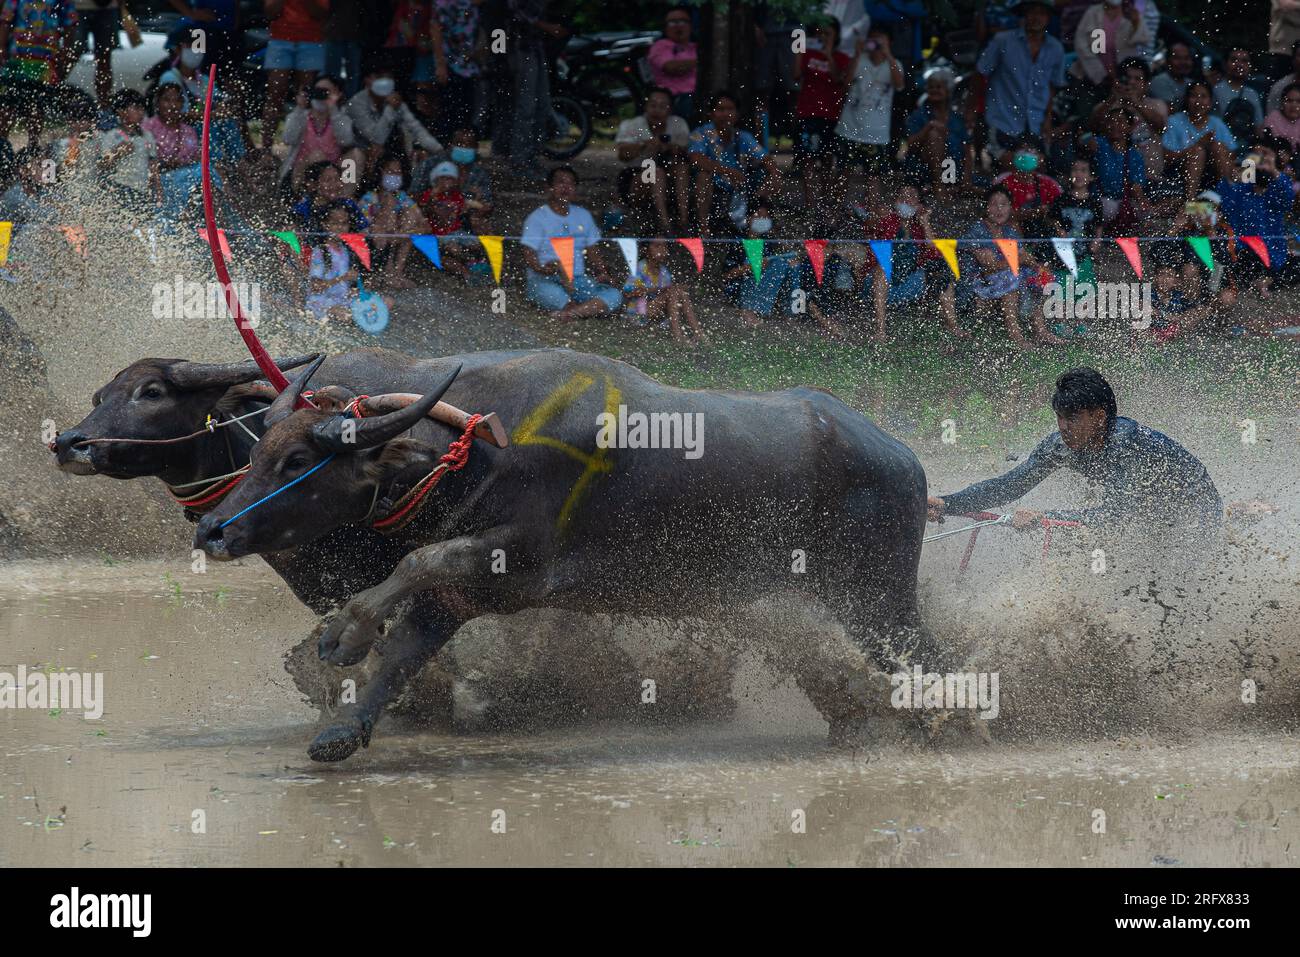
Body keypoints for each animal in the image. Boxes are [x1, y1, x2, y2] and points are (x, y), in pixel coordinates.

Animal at [197, 348, 941, 759]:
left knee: (923, 656)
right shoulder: (470, 593)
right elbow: (407, 646)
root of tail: (905, 459)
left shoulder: (522, 564)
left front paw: (343, 636)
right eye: (257, 450)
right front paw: (343, 730)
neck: (481, 449)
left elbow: (414, 564)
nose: (212, 529)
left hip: (877, 593)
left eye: (297, 459)